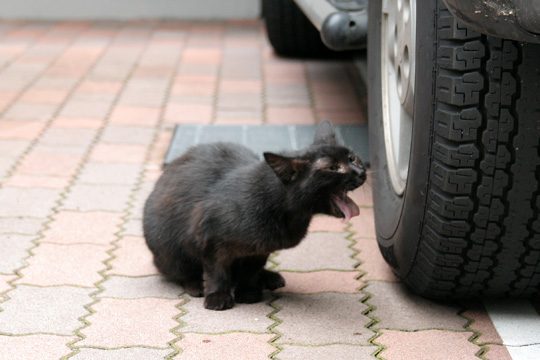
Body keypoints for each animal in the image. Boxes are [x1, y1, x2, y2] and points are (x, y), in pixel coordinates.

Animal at [141, 121, 364, 310]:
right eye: (333, 168)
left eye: (352, 158)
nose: (360, 172)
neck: (287, 213)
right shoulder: (210, 238)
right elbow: (217, 271)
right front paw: (217, 296)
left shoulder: (260, 249)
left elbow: (250, 270)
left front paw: (248, 292)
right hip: (168, 249)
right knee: (178, 271)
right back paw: (195, 285)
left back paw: (268, 277)